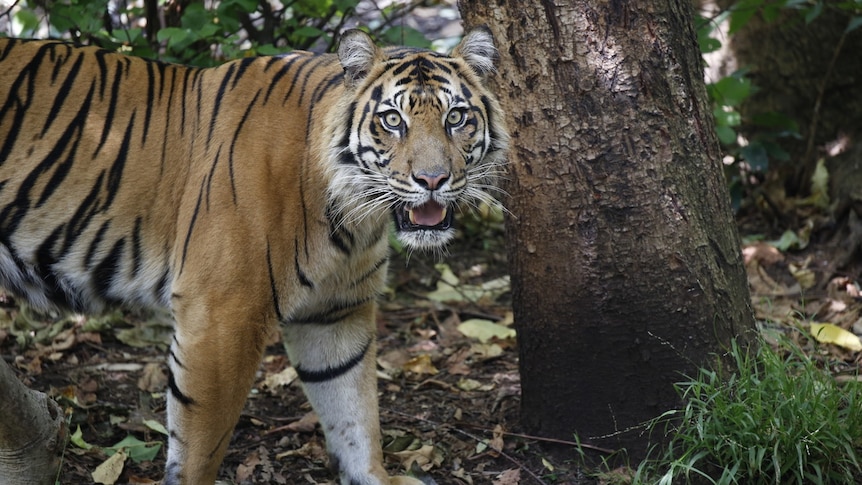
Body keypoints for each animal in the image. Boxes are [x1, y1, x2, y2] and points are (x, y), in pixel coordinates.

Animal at [0, 27, 510, 484]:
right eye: (392, 121)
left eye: (456, 118)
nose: (433, 180)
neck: (353, 213)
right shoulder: (222, 315)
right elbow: (200, 449)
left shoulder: (337, 311)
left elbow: (353, 409)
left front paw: (372, 476)